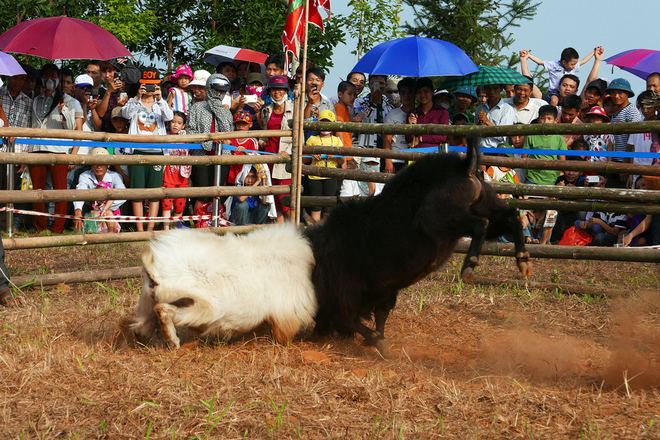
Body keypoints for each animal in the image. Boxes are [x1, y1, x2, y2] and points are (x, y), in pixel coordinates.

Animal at [131, 225, 318, 348]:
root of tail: (155, 271)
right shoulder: (287, 311)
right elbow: (283, 332)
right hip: (208, 306)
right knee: (164, 311)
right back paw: (173, 341)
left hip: (149, 301)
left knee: (141, 325)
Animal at [304, 134, 532, 350]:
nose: (316, 333)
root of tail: (465, 167)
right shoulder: (386, 290)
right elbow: (380, 314)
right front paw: (377, 339)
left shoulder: (345, 291)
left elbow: (350, 319)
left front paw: (377, 341)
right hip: (485, 207)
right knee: (511, 217)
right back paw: (523, 260)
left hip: (436, 219)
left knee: (480, 224)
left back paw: (470, 265)